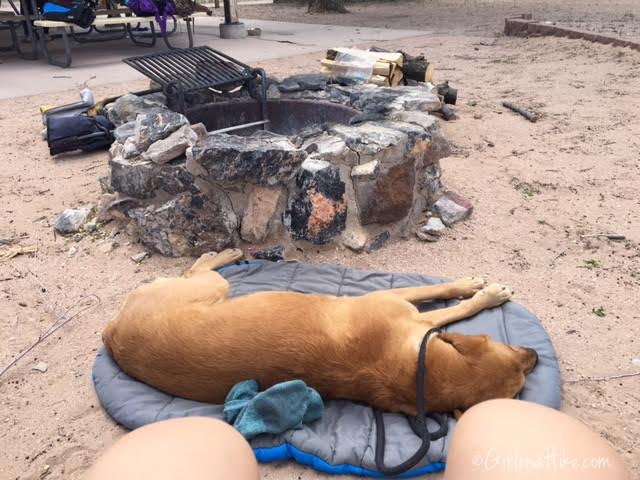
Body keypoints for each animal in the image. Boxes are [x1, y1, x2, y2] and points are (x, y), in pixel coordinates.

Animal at [102, 249, 536, 414]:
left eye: (518, 388)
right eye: (509, 349)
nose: (535, 355)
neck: (416, 372)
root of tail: (113, 332)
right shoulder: (396, 299)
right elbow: (450, 299)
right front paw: (481, 291)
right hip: (211, 287)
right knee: (197, 267)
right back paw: (224, 252)